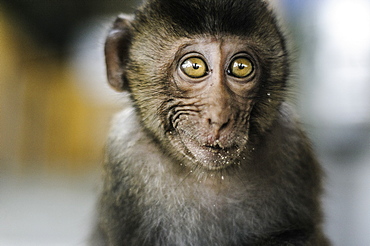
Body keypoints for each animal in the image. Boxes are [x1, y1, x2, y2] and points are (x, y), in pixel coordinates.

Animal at [91, 0, 330, 245]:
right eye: (194, 67)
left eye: (241, 67)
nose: (220, 117)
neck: (210, 175)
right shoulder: (125, 152)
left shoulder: (290, 144)